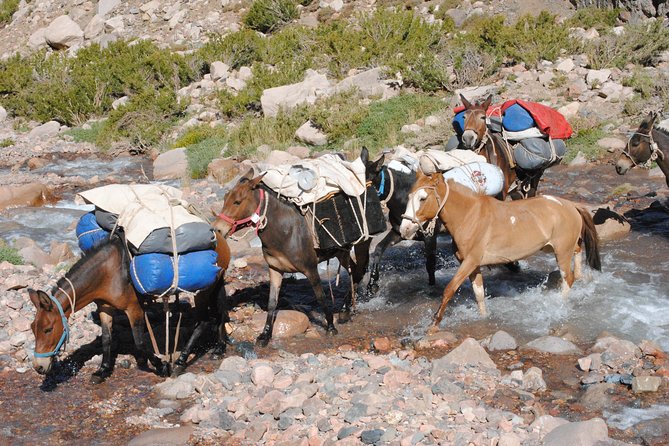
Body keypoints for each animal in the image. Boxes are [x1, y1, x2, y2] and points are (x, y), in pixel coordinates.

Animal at [396, 171, 600, 328]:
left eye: (423, 198)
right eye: (409, 197)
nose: (404, 229)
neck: (470, 217)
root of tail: (571, 205)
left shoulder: (470, 262)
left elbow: (449, 289)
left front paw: (434, 323)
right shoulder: (473, 266)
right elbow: (479, 295)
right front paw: (484, 318)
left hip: (561, 252)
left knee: (568, 279)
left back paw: (559, 304)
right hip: (560, 248)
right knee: (577, 258)